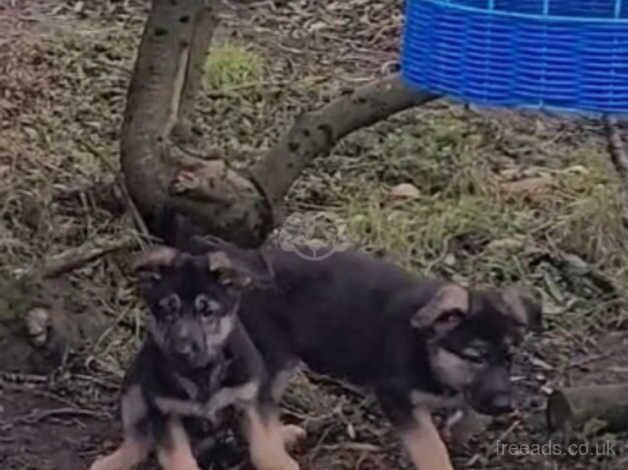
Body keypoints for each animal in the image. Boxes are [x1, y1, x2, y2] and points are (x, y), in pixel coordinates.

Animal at [89, 248, 302, 470]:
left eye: (207, 312)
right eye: (168, 310)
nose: (181, 351)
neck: (201, 373)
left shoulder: (253, 395)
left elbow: (266, 446)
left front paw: (279, 461)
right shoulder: (165, 412)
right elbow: (177, 458)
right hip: (133, 386)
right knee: (137, 441)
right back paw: (112, 461)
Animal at [170, 239, 540, 470]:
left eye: (508, 358)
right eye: (476, 357)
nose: (507, 406)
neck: (429, 348)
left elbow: (473, 413)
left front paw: (461, 428)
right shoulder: (397, 398)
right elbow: (430, 446)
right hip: (272, 359)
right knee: (253, 410)